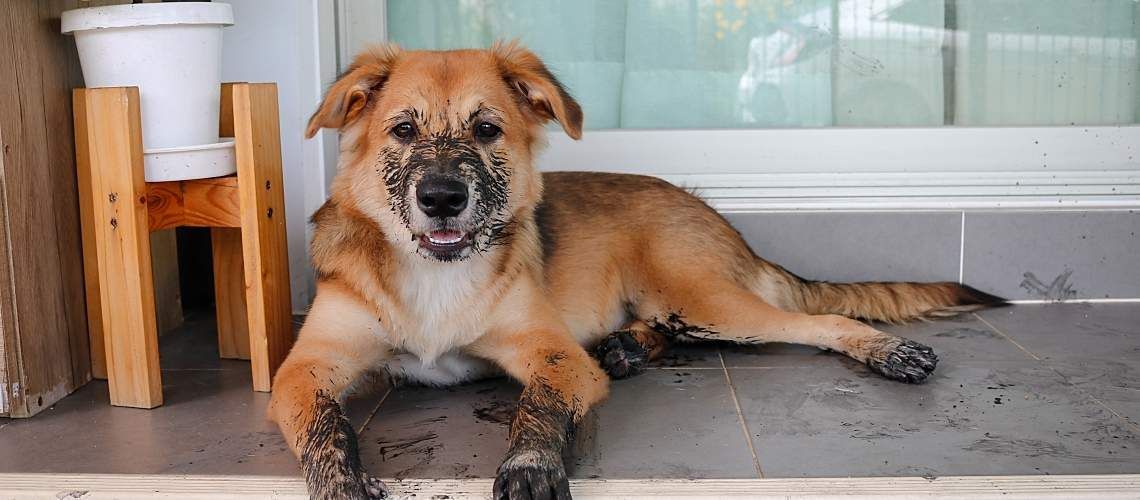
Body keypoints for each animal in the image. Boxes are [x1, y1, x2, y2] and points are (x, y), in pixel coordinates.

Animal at [269, 44, 1007, 500]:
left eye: (486, 129)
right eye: (402, 130)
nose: (443, 197)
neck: (433, 276)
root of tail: (712, 213)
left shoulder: (554, 356)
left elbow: (537, 408)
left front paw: (532, 465)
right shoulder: (304, 370)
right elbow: (326, 429)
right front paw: (341, 484)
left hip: (702, 297)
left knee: (817, 319)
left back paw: (890, 351)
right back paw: (626, 346)